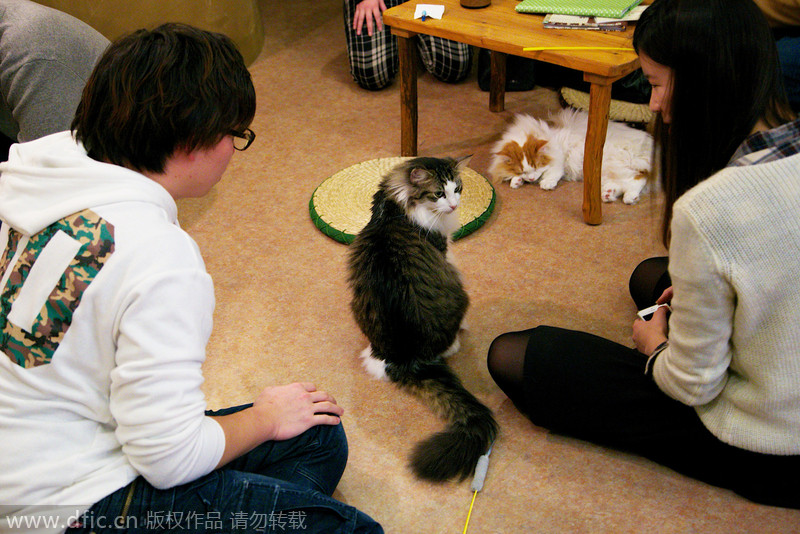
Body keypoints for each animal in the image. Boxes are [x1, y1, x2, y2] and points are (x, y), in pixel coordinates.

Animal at [346, 157, 496, 484]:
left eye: (458, 189)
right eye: (438, 193)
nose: (453, 205)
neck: (395, 207)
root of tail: (405, 357)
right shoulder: (445, 251)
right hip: (460, 293)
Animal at [488, 108, 656, 204]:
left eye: (536, 166)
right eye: (521, 171)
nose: (530, 179)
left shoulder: (560, 159)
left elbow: (553, 172)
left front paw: (546, 183)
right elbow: (512, 175)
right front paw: (516, 181)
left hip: (619, 164)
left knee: (639, 179)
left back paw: (630, 198)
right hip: (606, 173)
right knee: (622, 184)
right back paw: (608, 195)